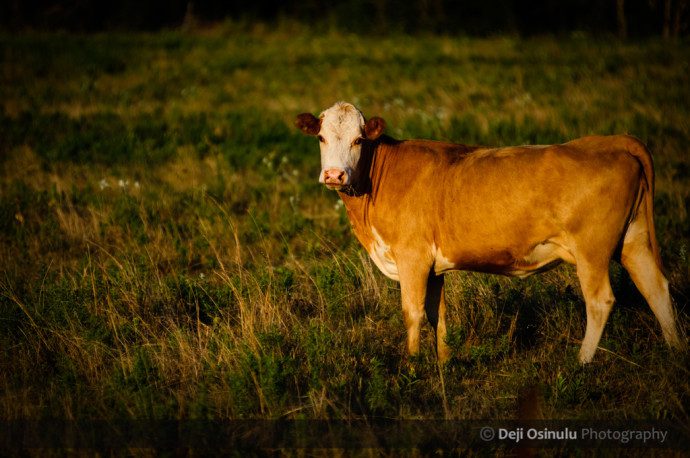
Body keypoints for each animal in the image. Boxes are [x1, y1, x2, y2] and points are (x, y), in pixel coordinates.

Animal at [294, 102, 684, 364]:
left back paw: (582, 362)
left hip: (593, 250)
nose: (334, 175)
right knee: (656, 288)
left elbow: (413, 312)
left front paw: (413, 368)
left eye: (359, 140)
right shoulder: (434, 265)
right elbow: (438, 313)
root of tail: (609, 141)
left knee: (601, 300)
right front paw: (444, 363)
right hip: (633, 240)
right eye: (322, 137)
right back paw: (675, 350)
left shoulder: (411, 257)